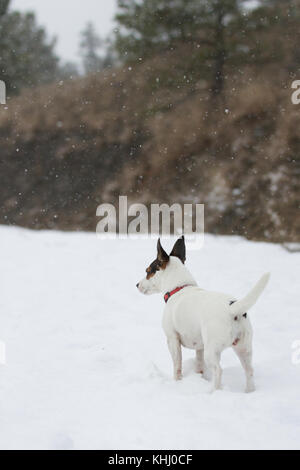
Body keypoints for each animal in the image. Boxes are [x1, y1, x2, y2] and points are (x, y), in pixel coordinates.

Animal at [136, 235, 270, 392]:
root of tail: (232, 309)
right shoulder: (199, 345)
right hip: (244, 348)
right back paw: (249, 391)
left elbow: (177, 365)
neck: (179, 287)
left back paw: (213, 392)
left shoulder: (172, 339)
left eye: (148, 271)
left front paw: (177, 382)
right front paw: (199, 377)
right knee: (249, 370)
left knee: (218, 370)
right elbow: (199, 365)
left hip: (212, 350)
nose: (137, 285)